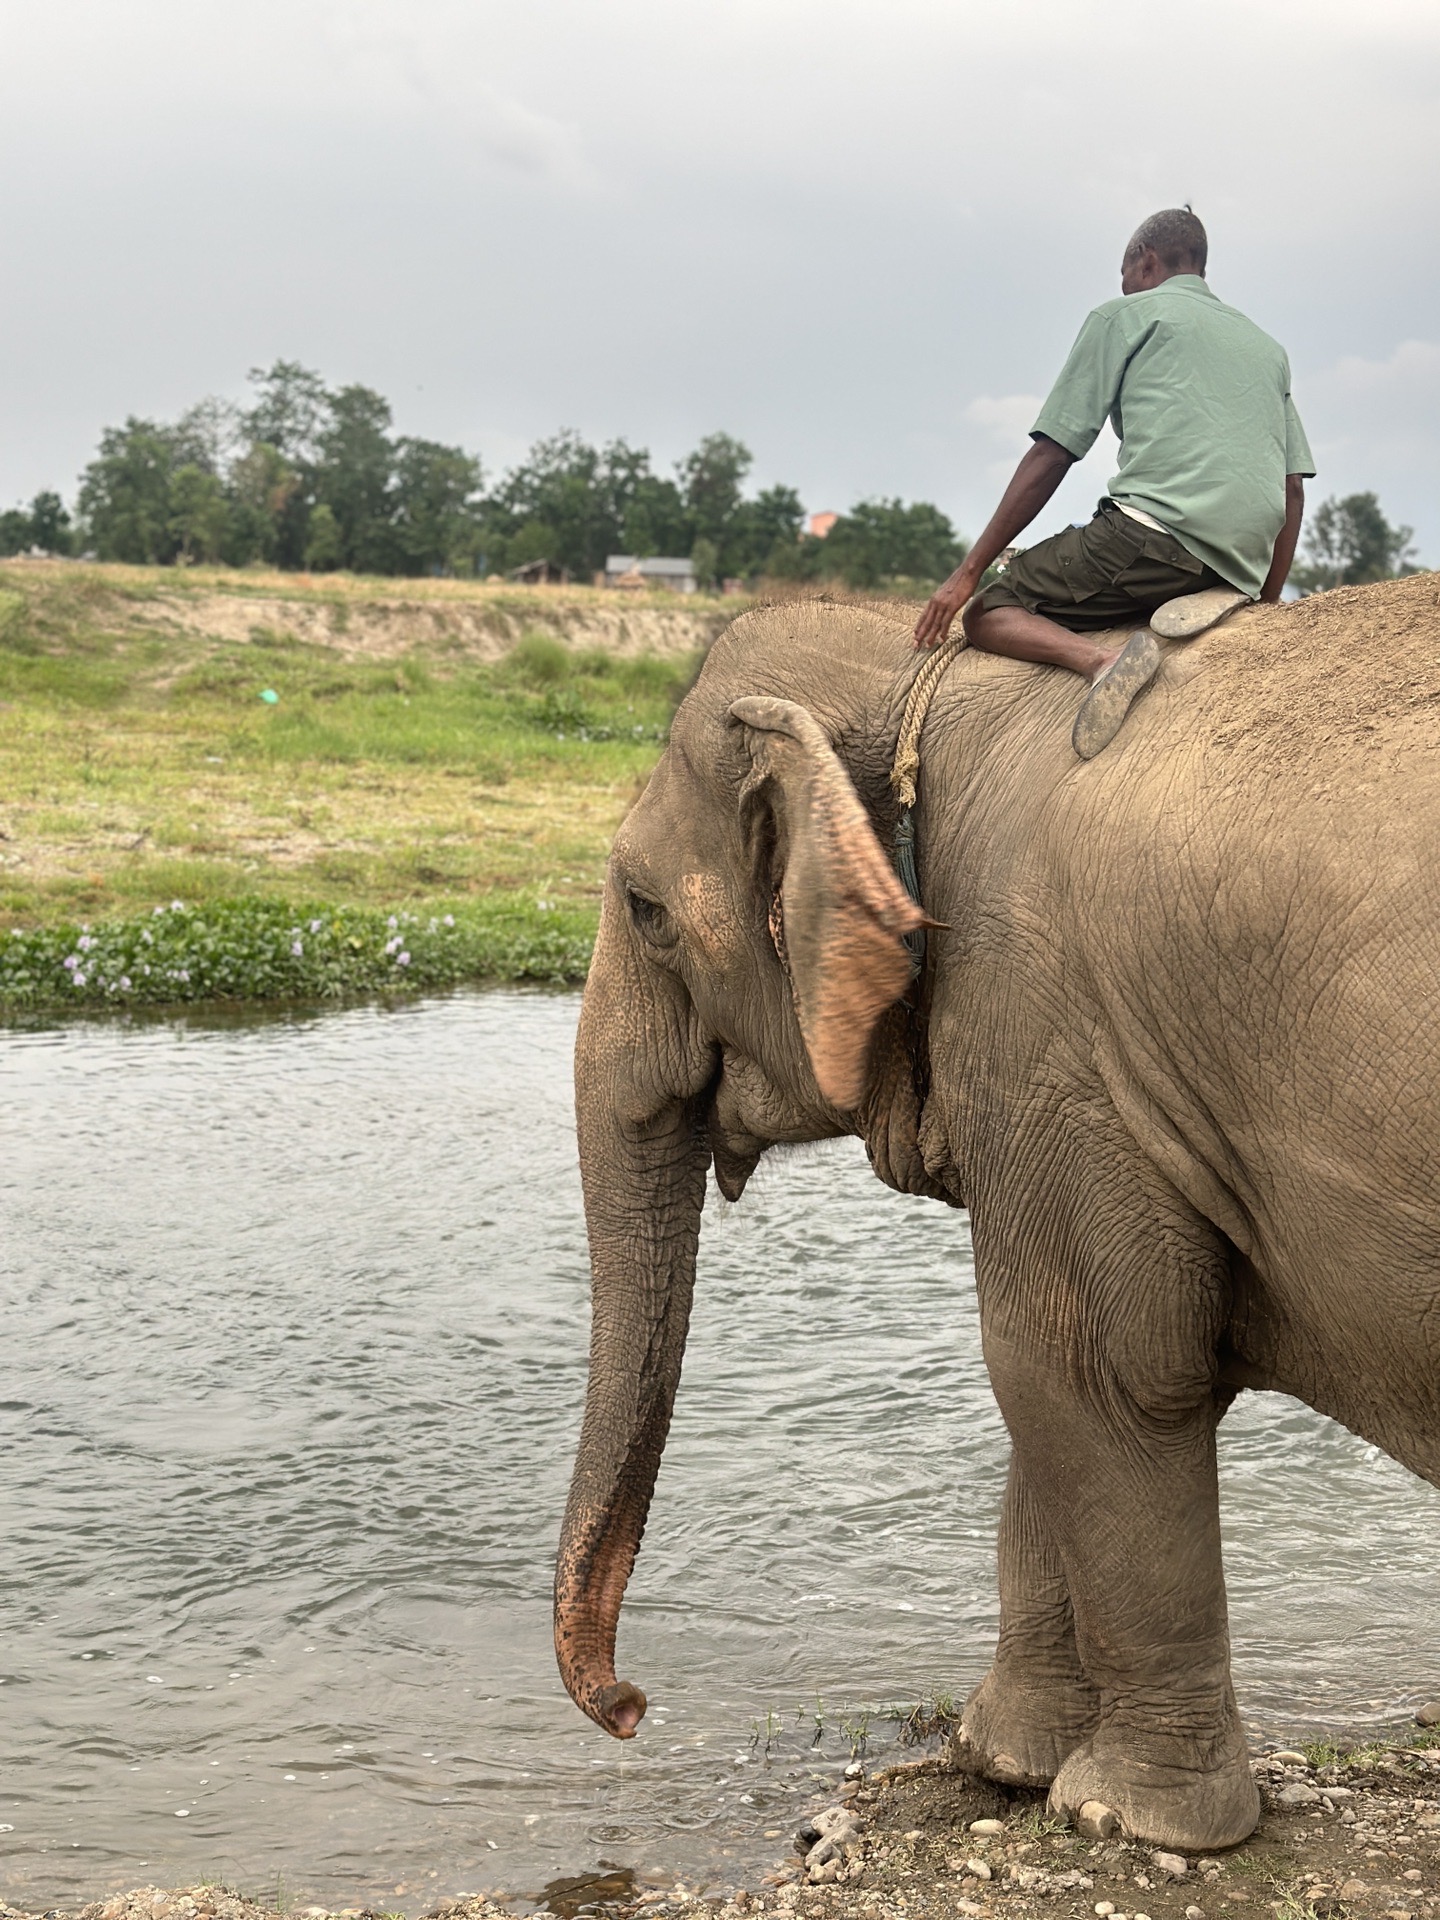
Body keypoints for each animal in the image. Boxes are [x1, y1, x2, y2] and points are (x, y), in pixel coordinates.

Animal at [552, 591, 1440, 1850]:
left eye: (643, 909)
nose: (631, 1708)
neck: (923, 686)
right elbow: (1058, 1390)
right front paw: (1001, 1760)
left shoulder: (1048, 1033)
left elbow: (1080, 1367)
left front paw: (1124, 1815)